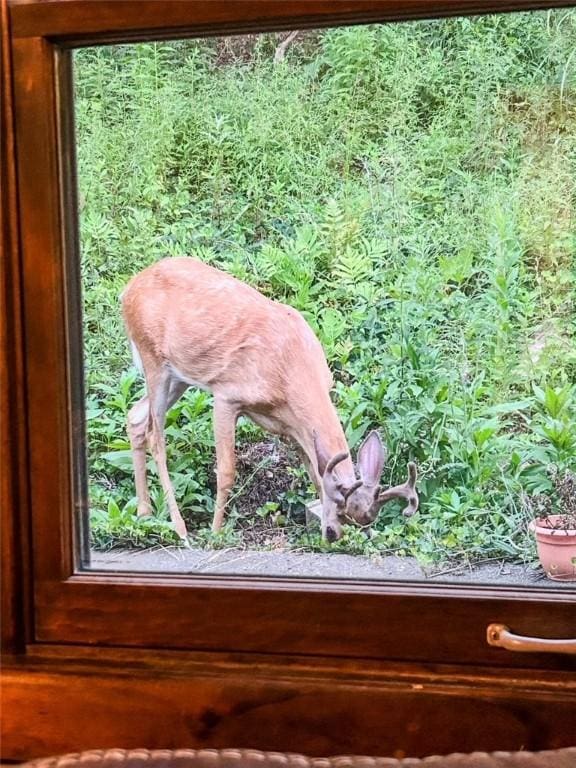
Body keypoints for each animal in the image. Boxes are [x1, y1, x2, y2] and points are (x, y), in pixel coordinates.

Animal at [121, 258, 418, 540]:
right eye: (341, 509)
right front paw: (215, 532)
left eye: (361, 520)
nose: (333, 535)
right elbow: (226, 472)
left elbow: (313, 471)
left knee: (136, 417)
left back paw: (144, 513)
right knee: (155, 436)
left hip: (178, 376)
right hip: (153, 359)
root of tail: (129, 289)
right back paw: (180, 528)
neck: (290, 373)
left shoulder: (292, 426)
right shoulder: (226, 395)